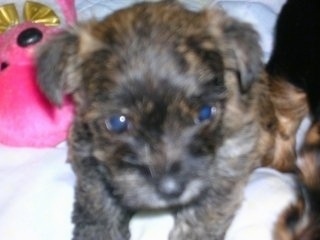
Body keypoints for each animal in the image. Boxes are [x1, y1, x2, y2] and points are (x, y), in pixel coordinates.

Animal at [35, 0, 276, 239]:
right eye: (117, 122)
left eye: (205, 113)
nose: (171, 189)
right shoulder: (88, 153)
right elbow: (98, 204)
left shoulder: (232, 159)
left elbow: (204, 214)